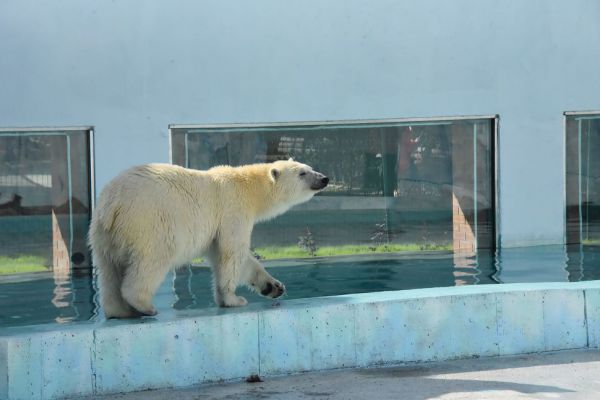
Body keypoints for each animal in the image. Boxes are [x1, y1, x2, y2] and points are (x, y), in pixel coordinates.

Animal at [89, 159, 328, 318]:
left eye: (309, 168)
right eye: (302, 173)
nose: (324, 178)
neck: (247, 186)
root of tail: (113, 202)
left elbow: (235, 258)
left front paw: (273, 287)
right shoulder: (233, 210)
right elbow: (232, 253)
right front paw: (234, 300)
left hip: (102, 234)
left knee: (109, 269)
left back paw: (118, 311)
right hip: (149, 222)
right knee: (153, 259)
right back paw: (144, 305)